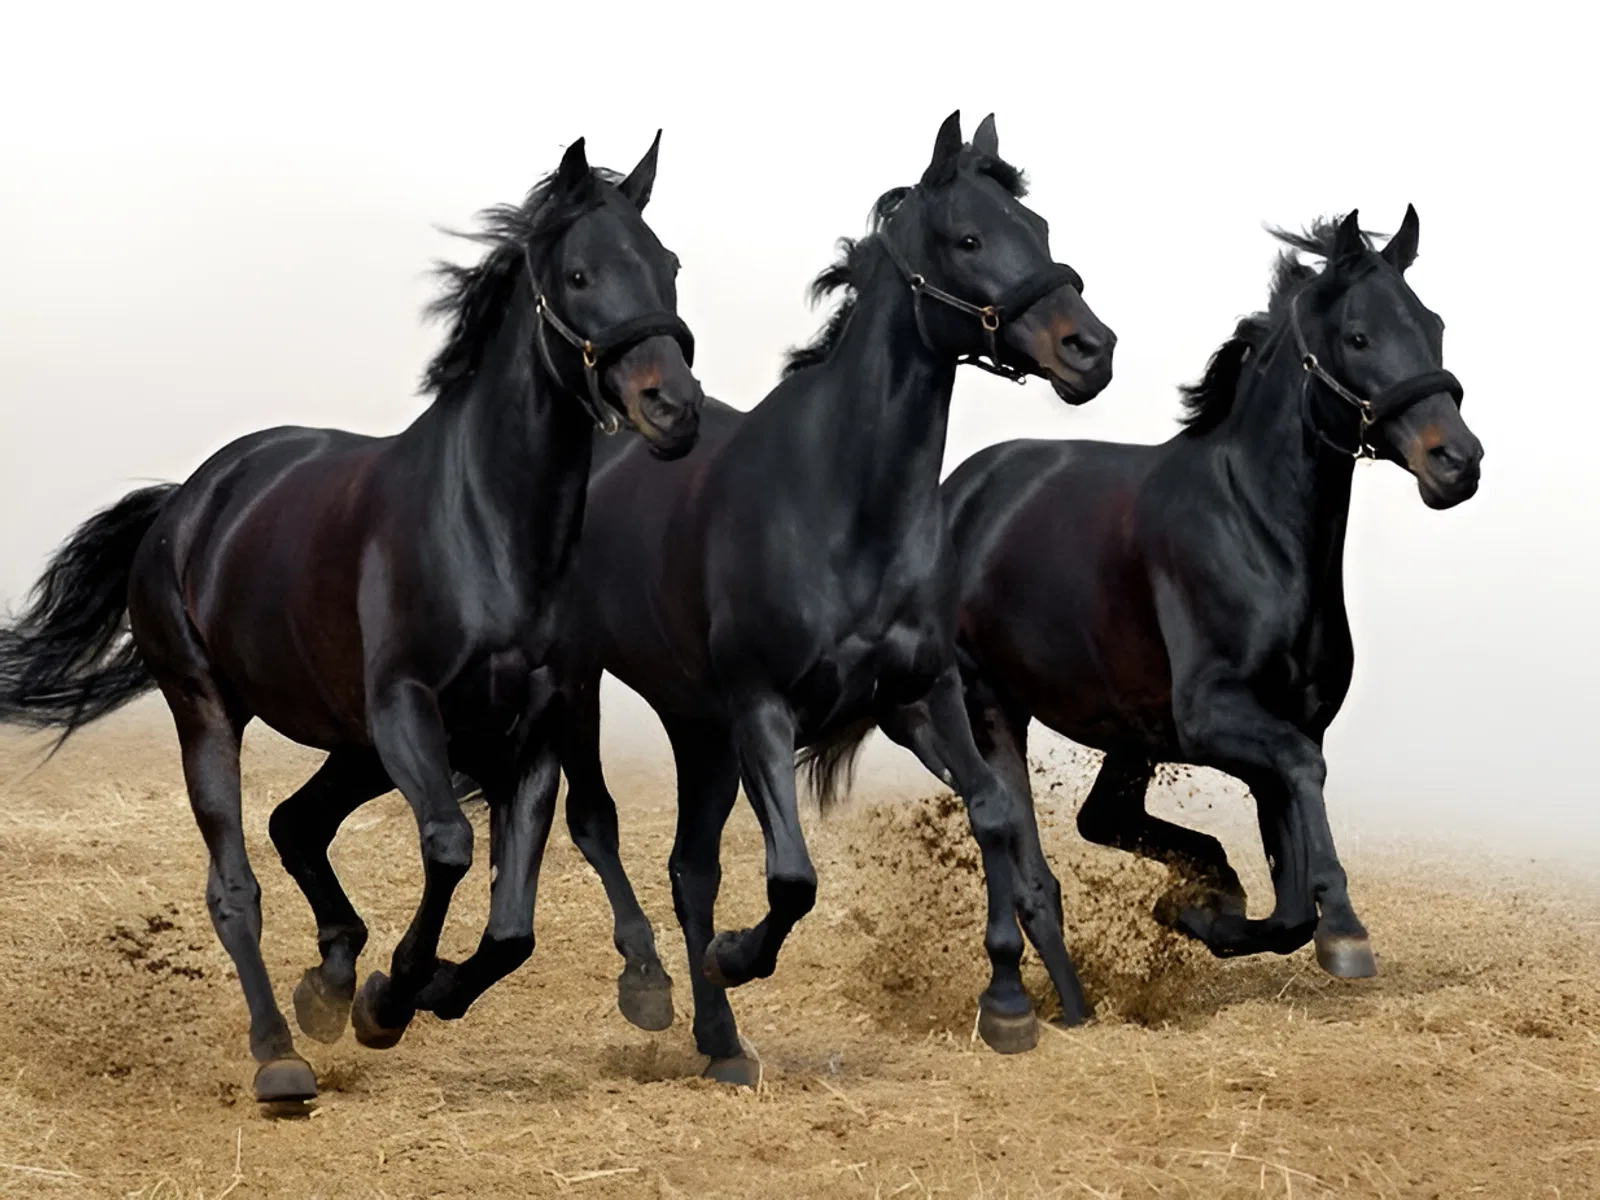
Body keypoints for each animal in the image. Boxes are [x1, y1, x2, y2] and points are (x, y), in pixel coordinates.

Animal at [0, 134, 703, 1103]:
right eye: (580, 273)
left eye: (669, 264)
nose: (674, 409)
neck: (485, 529)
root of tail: (186, 501)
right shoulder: (409, 709)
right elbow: (448, 846)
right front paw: (392, 994)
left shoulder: (531, 729)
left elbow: (512, 925)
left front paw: (411, 990)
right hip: (211, 711)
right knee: (235, 886)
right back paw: (280, 1055)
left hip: (354, 742)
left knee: (296, 824)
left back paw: (327, 983)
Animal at [448, 112, 1116, 1085]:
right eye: (968, 239)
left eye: (1041, 230)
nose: (1090, 350)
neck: (841, 503)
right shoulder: (763, 709)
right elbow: (793, 877)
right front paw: (735, 956)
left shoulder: (919, 697)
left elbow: (994, 814)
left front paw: (1008, 1004)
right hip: (584, 690)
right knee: (598, 823)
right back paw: (654, 986)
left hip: (695, 724)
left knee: (689, 867)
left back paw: (721, 1043)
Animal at [818, 206, 1483, 983]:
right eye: (1358, 336)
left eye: (1433, 324)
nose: (1458, 461)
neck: (1255, 530)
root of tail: (955, 496)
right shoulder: (1213, 718)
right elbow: (1302, 778)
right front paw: (1343, 929)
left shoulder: (1279, 726)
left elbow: (1289, 904)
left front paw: (1201, 911)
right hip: (991, 706)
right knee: (1024, 845)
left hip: (1126, 732)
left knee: (1100, 817)